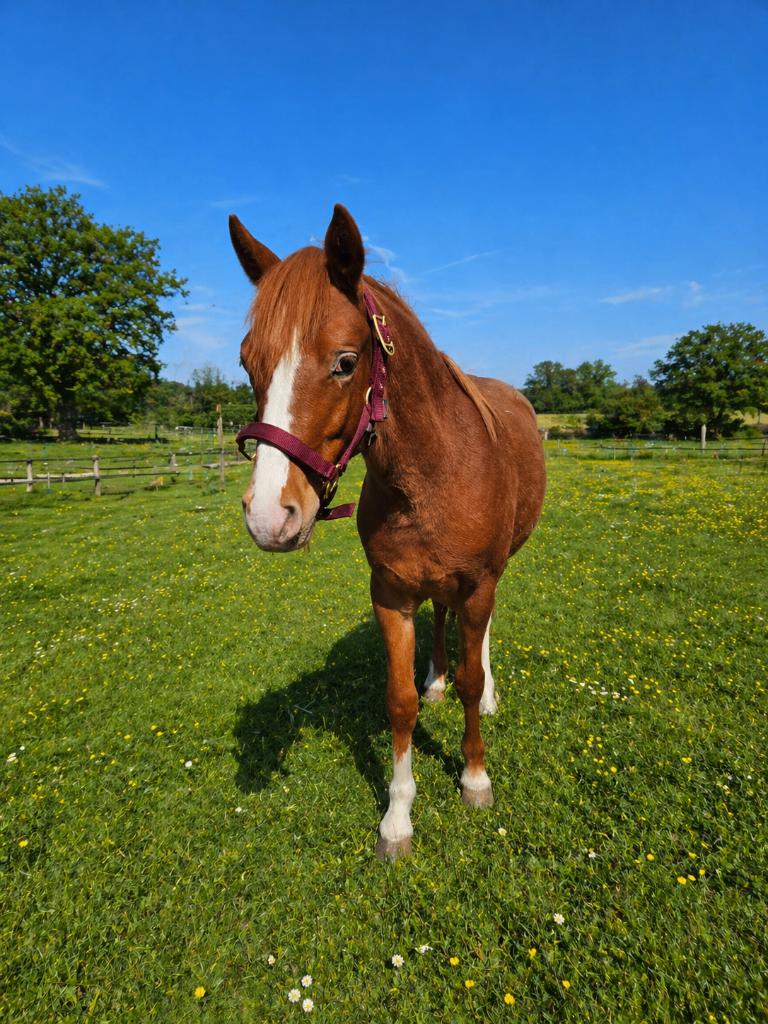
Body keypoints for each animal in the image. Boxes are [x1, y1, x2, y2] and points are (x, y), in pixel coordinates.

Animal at [230, 205, 546, 860]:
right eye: (249, 364)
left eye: (346, 362)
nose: (269, 516)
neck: (434, 471)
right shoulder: (391, 593)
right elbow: (398, 703)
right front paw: (398, 816)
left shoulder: (479, 581)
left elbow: (473, 678)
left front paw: (475, 778)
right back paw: (435, 679)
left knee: (480, 639)